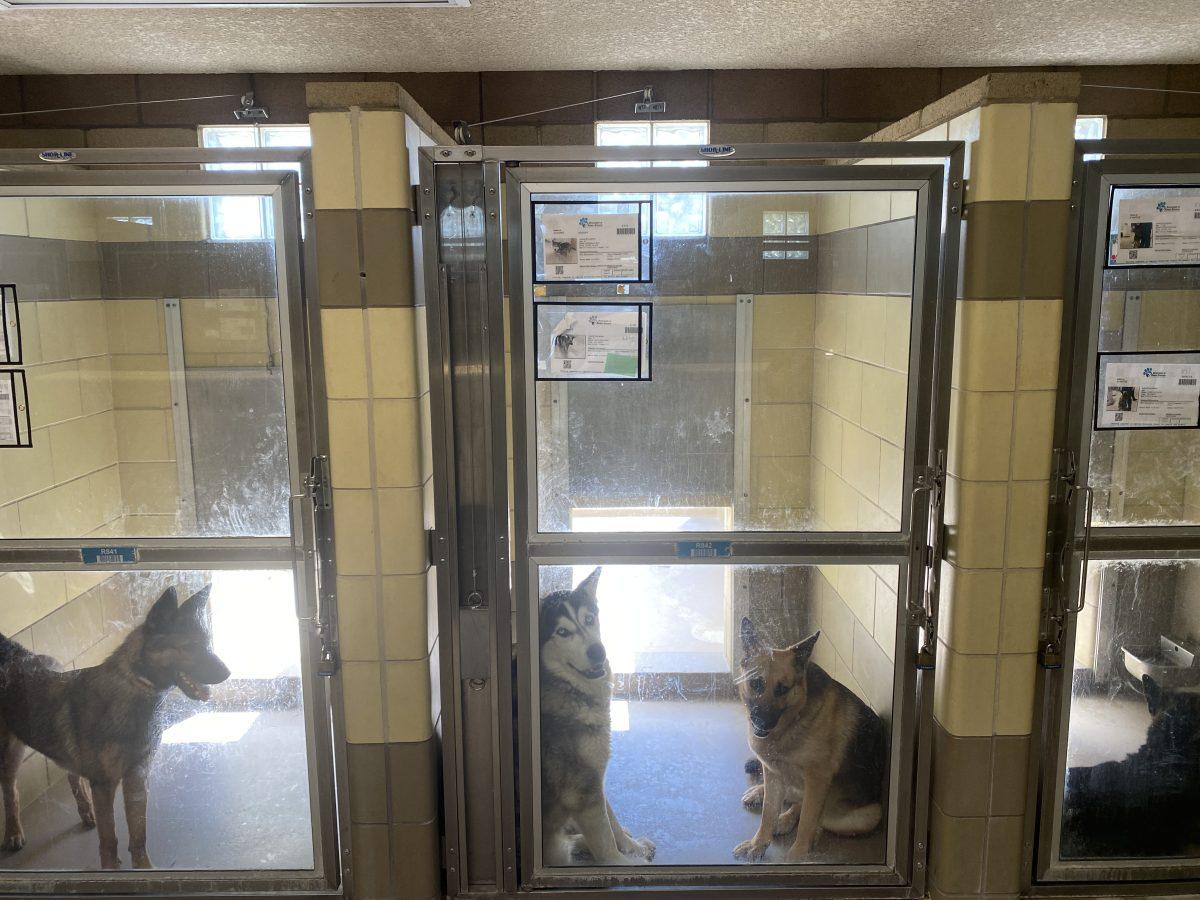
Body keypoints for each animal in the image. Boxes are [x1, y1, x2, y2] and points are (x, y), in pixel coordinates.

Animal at [0, 588, 230, 868]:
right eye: (189, 647)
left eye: (206, 644)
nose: (228, 673)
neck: (135, 688)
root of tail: (13, 652)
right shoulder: (105, 785)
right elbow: (109, 839)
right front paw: (110, 869)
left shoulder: (137, 776)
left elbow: (138, 834)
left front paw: (144, 868)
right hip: (10, 753)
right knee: (11, 791)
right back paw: (13, 833)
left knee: (70, 774)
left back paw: (86, 812)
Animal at [540, 566, 657, 868]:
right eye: (562, 632)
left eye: (589, 619)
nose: (597, 651)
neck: (565, 686)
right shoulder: (582, 790)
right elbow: (605, 844)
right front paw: (627, 864)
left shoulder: (595, 775)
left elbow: (612, 823)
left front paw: (633, 847)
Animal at [734, 619, 888, 868]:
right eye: (756, 683)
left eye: (782, 689)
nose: (761, 723)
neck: (792, 722)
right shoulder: (772, 772)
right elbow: (768, 812)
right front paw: (758, 844)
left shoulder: (817, 779)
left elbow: (807, 821)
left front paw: (797, 857)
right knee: (792, 798)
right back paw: (764, 798)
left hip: (865, 817)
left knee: (813, 815)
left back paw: (790, 821)